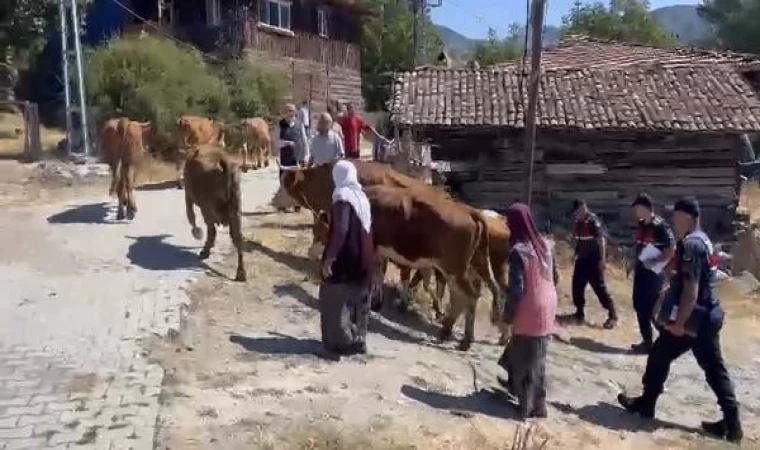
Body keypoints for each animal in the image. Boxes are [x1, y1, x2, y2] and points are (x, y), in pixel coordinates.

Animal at [183, 144, 245, 282]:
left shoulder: (188, 196)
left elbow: (191, 217)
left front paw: (197, 233)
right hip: (236, 210)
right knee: (238, 239)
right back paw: (241, 273)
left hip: (207, 209)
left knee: (211, 230)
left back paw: (205, 251)